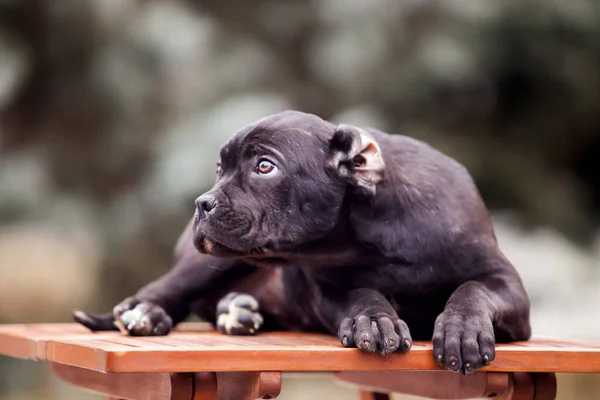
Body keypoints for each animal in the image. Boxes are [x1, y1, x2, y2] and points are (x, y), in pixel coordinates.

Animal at [74, 108, 528, 372]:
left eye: (265, 166)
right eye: (219, 168)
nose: (201, 203)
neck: (375, 243)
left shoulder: (508, 287)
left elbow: (472, 290)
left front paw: (461, 329)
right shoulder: (327, 290)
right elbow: (361, 294)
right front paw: (373, 320)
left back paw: (239, 311)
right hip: (215, 261)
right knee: (169, 288)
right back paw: (146, 313)